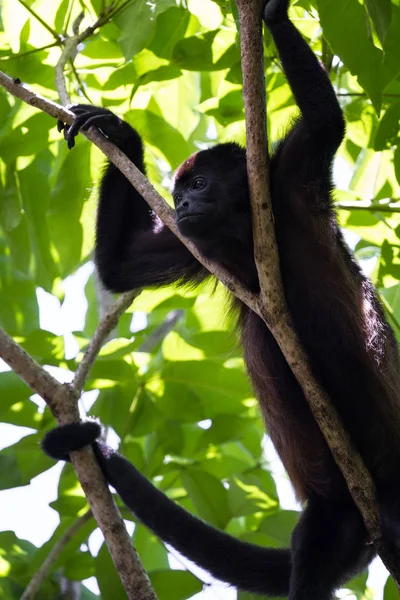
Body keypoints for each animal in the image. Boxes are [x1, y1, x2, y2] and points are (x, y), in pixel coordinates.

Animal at [42, 1, 400, 600]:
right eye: (179, 191)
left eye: (201, 183)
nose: (183, 203)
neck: (245, 234)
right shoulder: (195, 244)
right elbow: (120, 269)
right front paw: (119, 132)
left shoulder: (288, 182)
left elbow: (326, 125)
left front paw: (272, 12)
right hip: (330, 524)